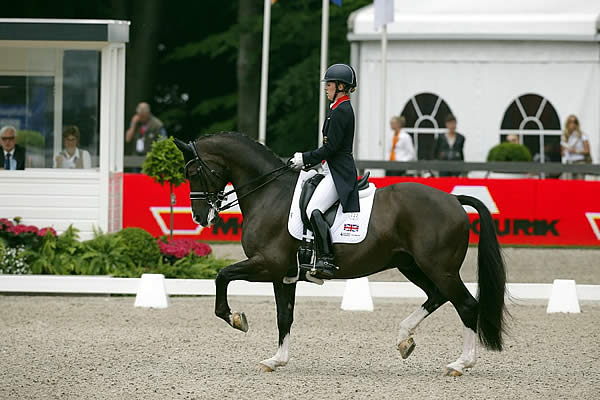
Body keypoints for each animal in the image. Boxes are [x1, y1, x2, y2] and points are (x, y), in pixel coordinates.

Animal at [175, 134, 506, 376]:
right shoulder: (284, 275)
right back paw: (404, 340)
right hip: (411, 265)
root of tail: (453, 199)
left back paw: (460, 364)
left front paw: (235, 318)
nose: (199, 217)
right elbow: (284, 316)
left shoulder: (267, 265)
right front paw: (276, 359)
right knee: (437, 296)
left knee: (466, 305)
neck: (270, 195)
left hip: (439, 267)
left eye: (193, 171)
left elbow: (222, 276)